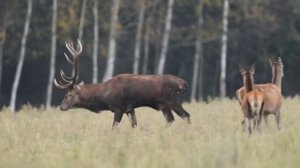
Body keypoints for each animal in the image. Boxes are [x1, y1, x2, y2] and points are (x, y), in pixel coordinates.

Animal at [54, 39, 190, 129]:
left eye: (69, 95)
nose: (61, 107)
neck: (105, 97)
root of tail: (184, 83)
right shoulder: (130, 109)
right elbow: (135, 125)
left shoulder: (119, 108)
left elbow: (114, 127)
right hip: (165, 105)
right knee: (171, 120)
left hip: (174, 100)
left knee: (186, 116)